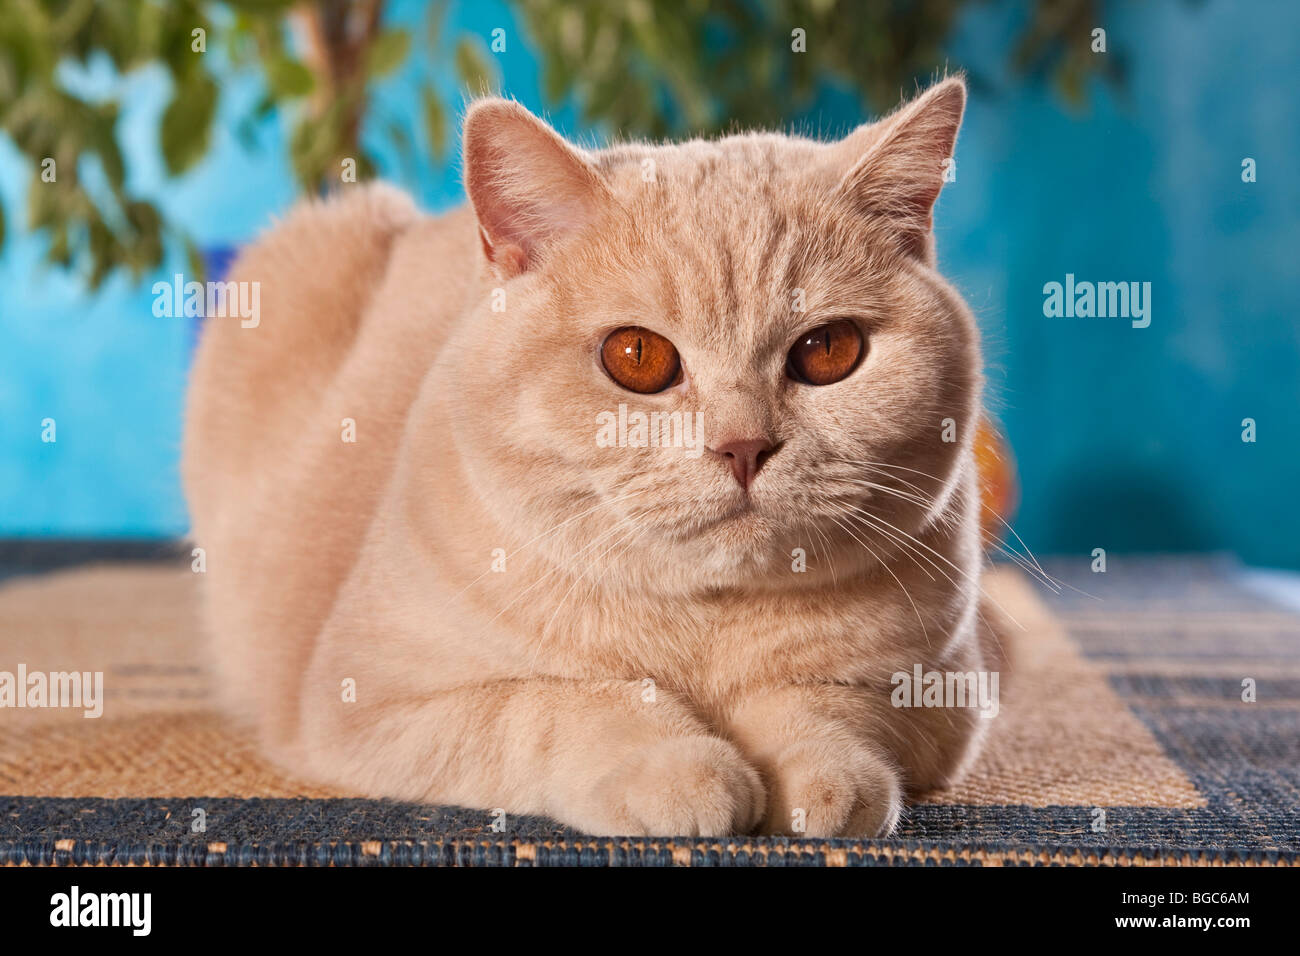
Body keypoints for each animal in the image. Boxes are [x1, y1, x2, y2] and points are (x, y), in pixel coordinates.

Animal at [180, 74, 1003, 837]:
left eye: (829, 349)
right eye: (636, 356)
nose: (743, 446)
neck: (706, 626)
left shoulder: (938, 695)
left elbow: (827, 703)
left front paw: (825, 778)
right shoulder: (366, 703)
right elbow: (564, 704)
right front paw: (681, 770)